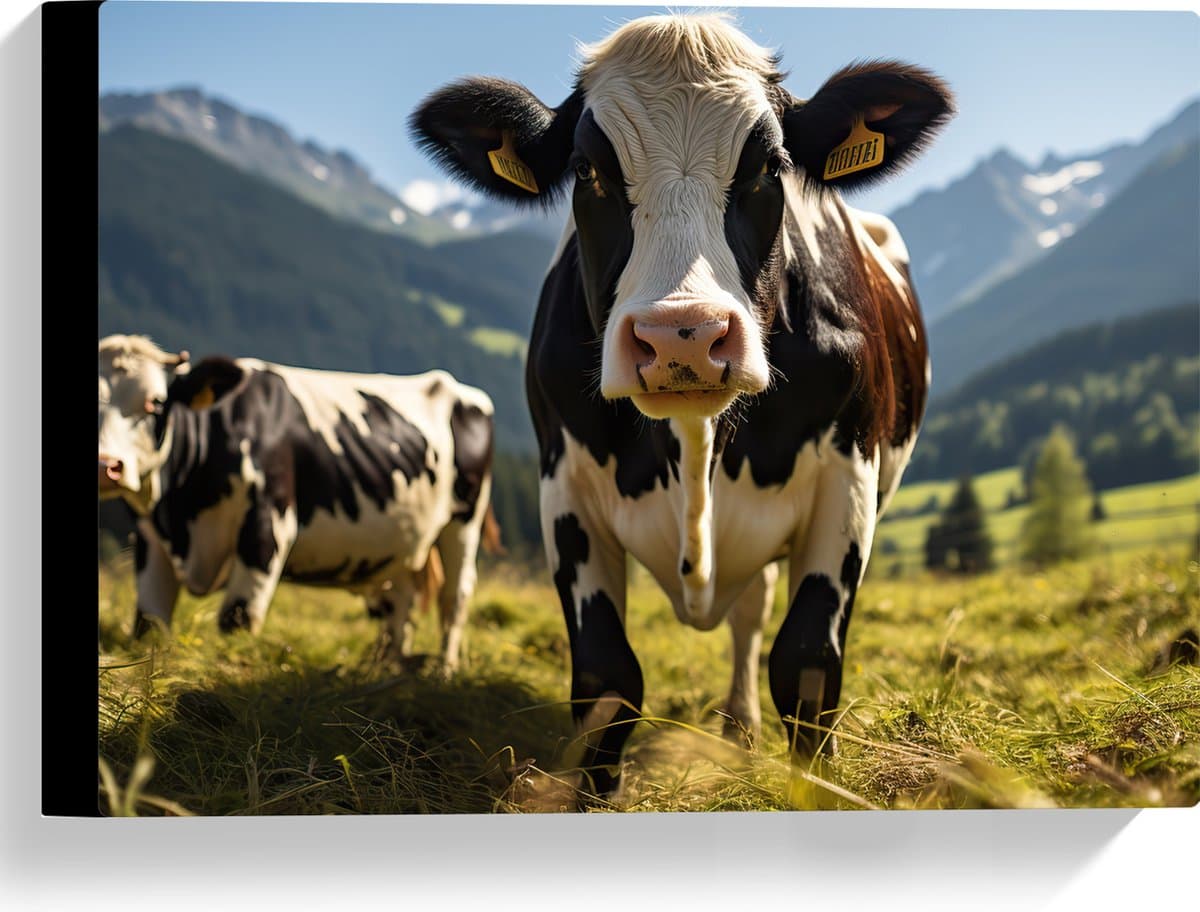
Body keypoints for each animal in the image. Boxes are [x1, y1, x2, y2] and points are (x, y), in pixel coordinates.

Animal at [97, 334, 498, 671]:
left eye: (155, 403)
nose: (106, 466)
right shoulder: (151, 536)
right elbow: (149, 622)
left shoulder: (267, 525)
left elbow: (237, 619)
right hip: (401, 540)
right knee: (401, 603)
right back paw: (384, 671)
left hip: (464, 521)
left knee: (454, 598)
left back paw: (443, 672)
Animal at [412, 12, 953, 796]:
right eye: (589, 171)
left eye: (769, 166)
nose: (683, 336)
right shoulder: (564, 487)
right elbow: (607, 677)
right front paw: (591, 799)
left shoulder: (847, 478)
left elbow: (806, 667)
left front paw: (810, 791)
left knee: (752, 618)